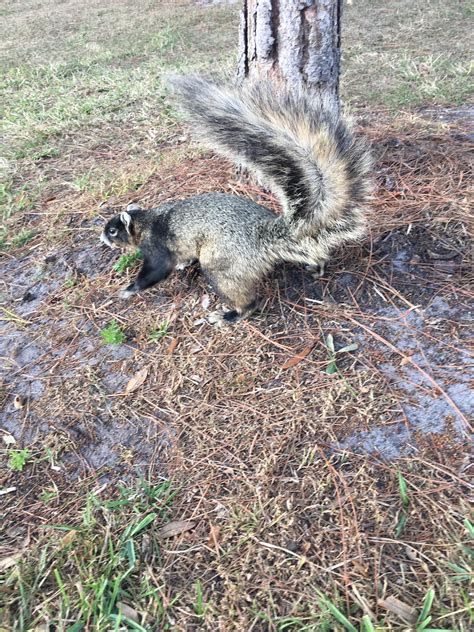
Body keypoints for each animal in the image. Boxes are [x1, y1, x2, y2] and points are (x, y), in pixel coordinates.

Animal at [101, 77, 374, 326]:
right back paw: (317, 267)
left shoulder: (157, 247)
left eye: (113, 230)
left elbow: (157, 270)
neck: (145, 221)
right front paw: (183, 264)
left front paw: (128, 290)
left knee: (246, 300)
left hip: (221, 266)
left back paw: (230, 314)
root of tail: (263, 238)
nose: (102, 237)